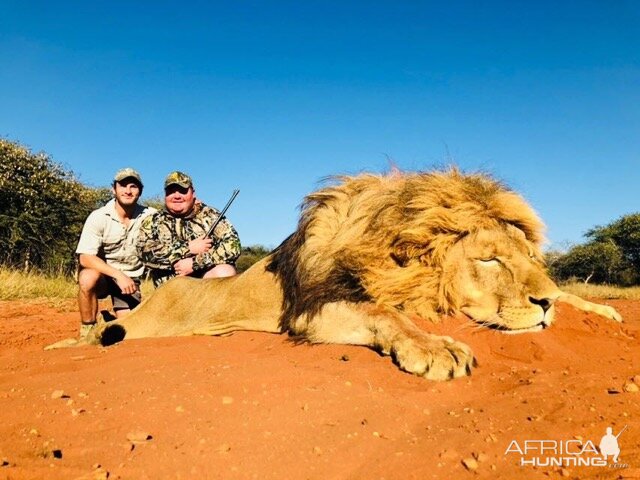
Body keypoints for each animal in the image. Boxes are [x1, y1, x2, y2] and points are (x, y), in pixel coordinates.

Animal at [47, 171, 624, 380]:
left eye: (526, 254)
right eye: (488, 260)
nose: (544, 302)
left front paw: (599, 308)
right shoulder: (314, 309)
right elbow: (383, 312)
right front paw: (436, 348)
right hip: (144, 324)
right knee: (102, 332)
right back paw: (64, 344)